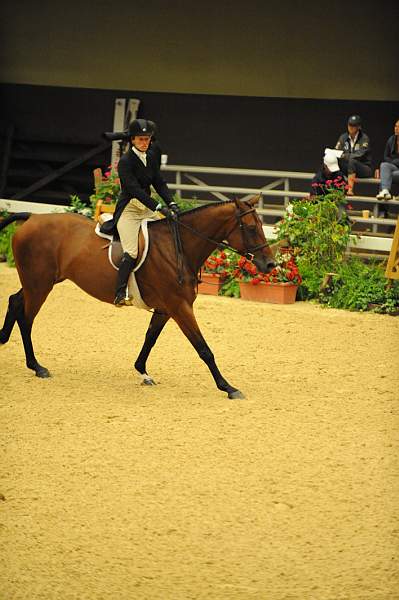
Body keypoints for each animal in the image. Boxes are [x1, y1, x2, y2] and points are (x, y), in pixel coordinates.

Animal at [0, 199, 276, 400]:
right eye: (252, 228)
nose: (270, 265)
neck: (178, 248)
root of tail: (32, 217)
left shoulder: (166, 309)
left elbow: (150, 339)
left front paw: (142, 372)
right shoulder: (180, 307)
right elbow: (204, 349)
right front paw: (228, 387)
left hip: (40, 282)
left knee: (15, 301)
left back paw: (5, 341)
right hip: (40, 285)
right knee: (26, 318)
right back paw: (37, 366)